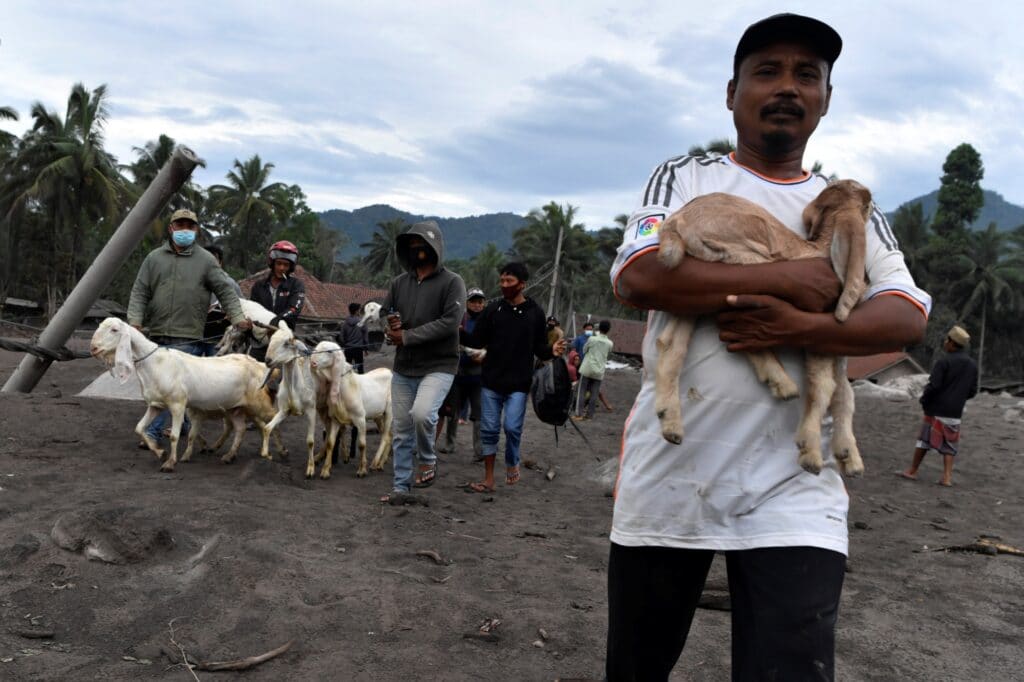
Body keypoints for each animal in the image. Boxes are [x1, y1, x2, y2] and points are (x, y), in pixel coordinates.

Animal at [89, 315, 276, 471]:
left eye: (114, 330)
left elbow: (174, 436)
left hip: (257, 405)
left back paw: (274, 451)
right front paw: (159, 452)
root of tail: (259, 364)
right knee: (242, 428)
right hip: (234, 408)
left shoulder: (177, 404)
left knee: (270, 420)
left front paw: (170, 462)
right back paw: (229, 456)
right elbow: (139, 428)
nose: (93, 348)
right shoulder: (156, 405)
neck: (155, 363)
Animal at [258, 321, 317, 464]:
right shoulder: (284, 411)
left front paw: (311, 467)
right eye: (271, 340)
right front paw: (266, 453)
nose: (268, 360)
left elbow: (310, 441)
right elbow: (267, 428)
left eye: (286, 343)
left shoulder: (311, 410)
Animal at [305, 339, 393, 477]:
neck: (346, 386)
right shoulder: (335, 419)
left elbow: (362, 444)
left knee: (384, 437)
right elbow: (330, 443)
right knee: (389, 436)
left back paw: (374, 463)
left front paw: (362, 469)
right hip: (378, 415)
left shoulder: (360, 418)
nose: (313, 363)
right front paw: (325, 470)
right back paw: (380, 463)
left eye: (329, 351)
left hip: (389, 411)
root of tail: (388, 371)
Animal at [655, 180, 872, 477]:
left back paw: (671, 423)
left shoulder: (835, 342)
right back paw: (782, 382)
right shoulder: (816, 334)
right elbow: (824, 386)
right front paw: (811, 453)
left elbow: (844, 394)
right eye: (867, 206)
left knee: (672, 342)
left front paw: (849, 457)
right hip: (745, 261)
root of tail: (676, 222)